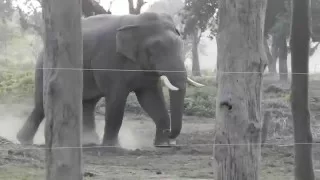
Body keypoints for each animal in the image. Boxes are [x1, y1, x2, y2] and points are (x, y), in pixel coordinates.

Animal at [16, 12, 204, 148]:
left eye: (180, 46)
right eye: (153, 49)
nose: (170, 135)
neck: (135, 21)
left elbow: (152, 99)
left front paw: (163, 145)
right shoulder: (110, 59)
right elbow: (116, 100)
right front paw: (112, 147)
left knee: (88, 104)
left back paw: (89, 142)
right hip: (44, 68)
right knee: (42, 105)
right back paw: (22, 141)